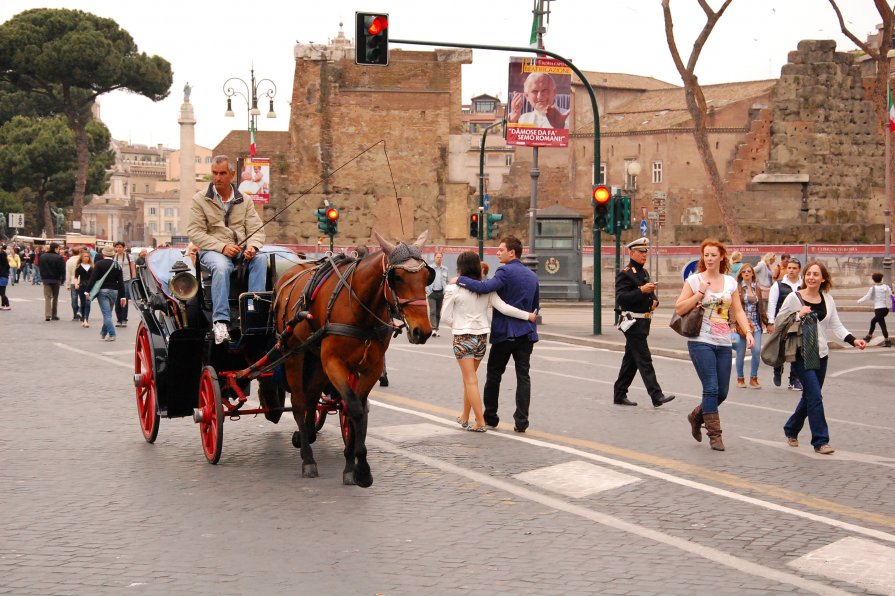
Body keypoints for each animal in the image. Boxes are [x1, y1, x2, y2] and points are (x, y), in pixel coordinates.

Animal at [272, 228, 434, 484]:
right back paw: (308, 458)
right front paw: (362, 469)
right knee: (298, 402)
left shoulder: (371, 367)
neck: (360, 309)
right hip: (293, 353)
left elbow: (354, 408)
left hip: (316, 358)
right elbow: (355, 407)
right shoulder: (334, 363)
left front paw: (351, 464)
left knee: (311, 396)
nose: (423, 331)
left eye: (428, 276)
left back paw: (308, 433)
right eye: (396, 278)